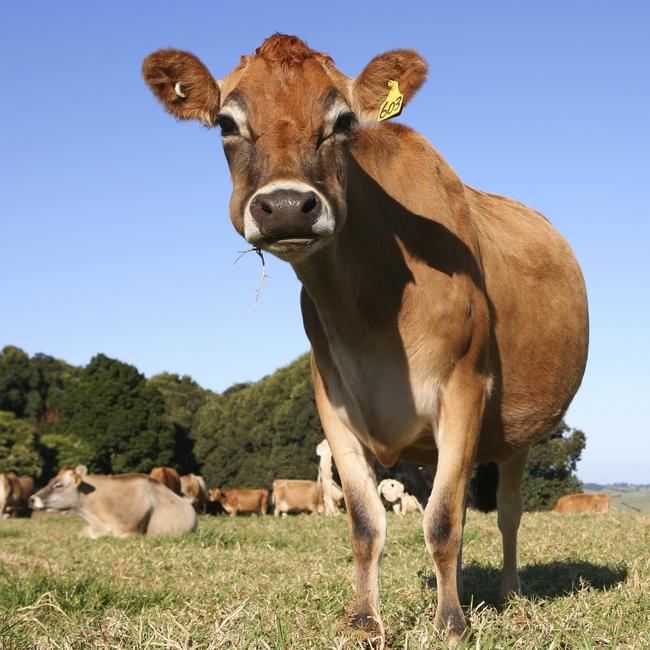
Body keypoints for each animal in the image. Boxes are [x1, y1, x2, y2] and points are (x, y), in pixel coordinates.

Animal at [142, 34, 588, 636]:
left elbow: (443, 520)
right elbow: (367, 522)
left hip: (518, 434)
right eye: (226, 124)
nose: (287, 206)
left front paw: (451, 622)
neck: (372, 310)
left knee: (508, 513)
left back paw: (509, 591)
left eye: (344, 121)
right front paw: (365, 618)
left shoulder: (464, 388)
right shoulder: (333, 400)